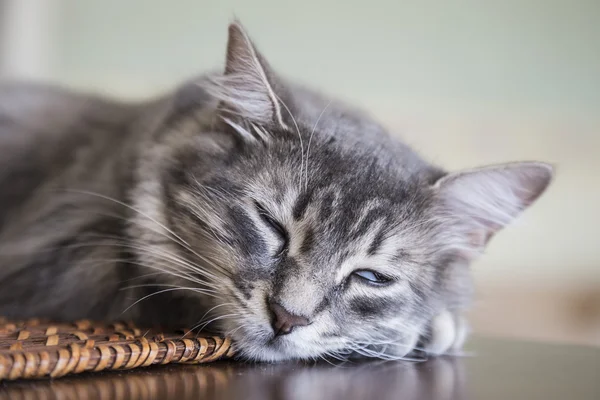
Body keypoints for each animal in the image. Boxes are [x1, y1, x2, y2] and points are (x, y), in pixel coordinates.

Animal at [0, 20, 552, 360]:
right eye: (272, 226)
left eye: (371, 277)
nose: (288, 318)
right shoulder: (61, 253)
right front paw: (422, 332)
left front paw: (434, 326)